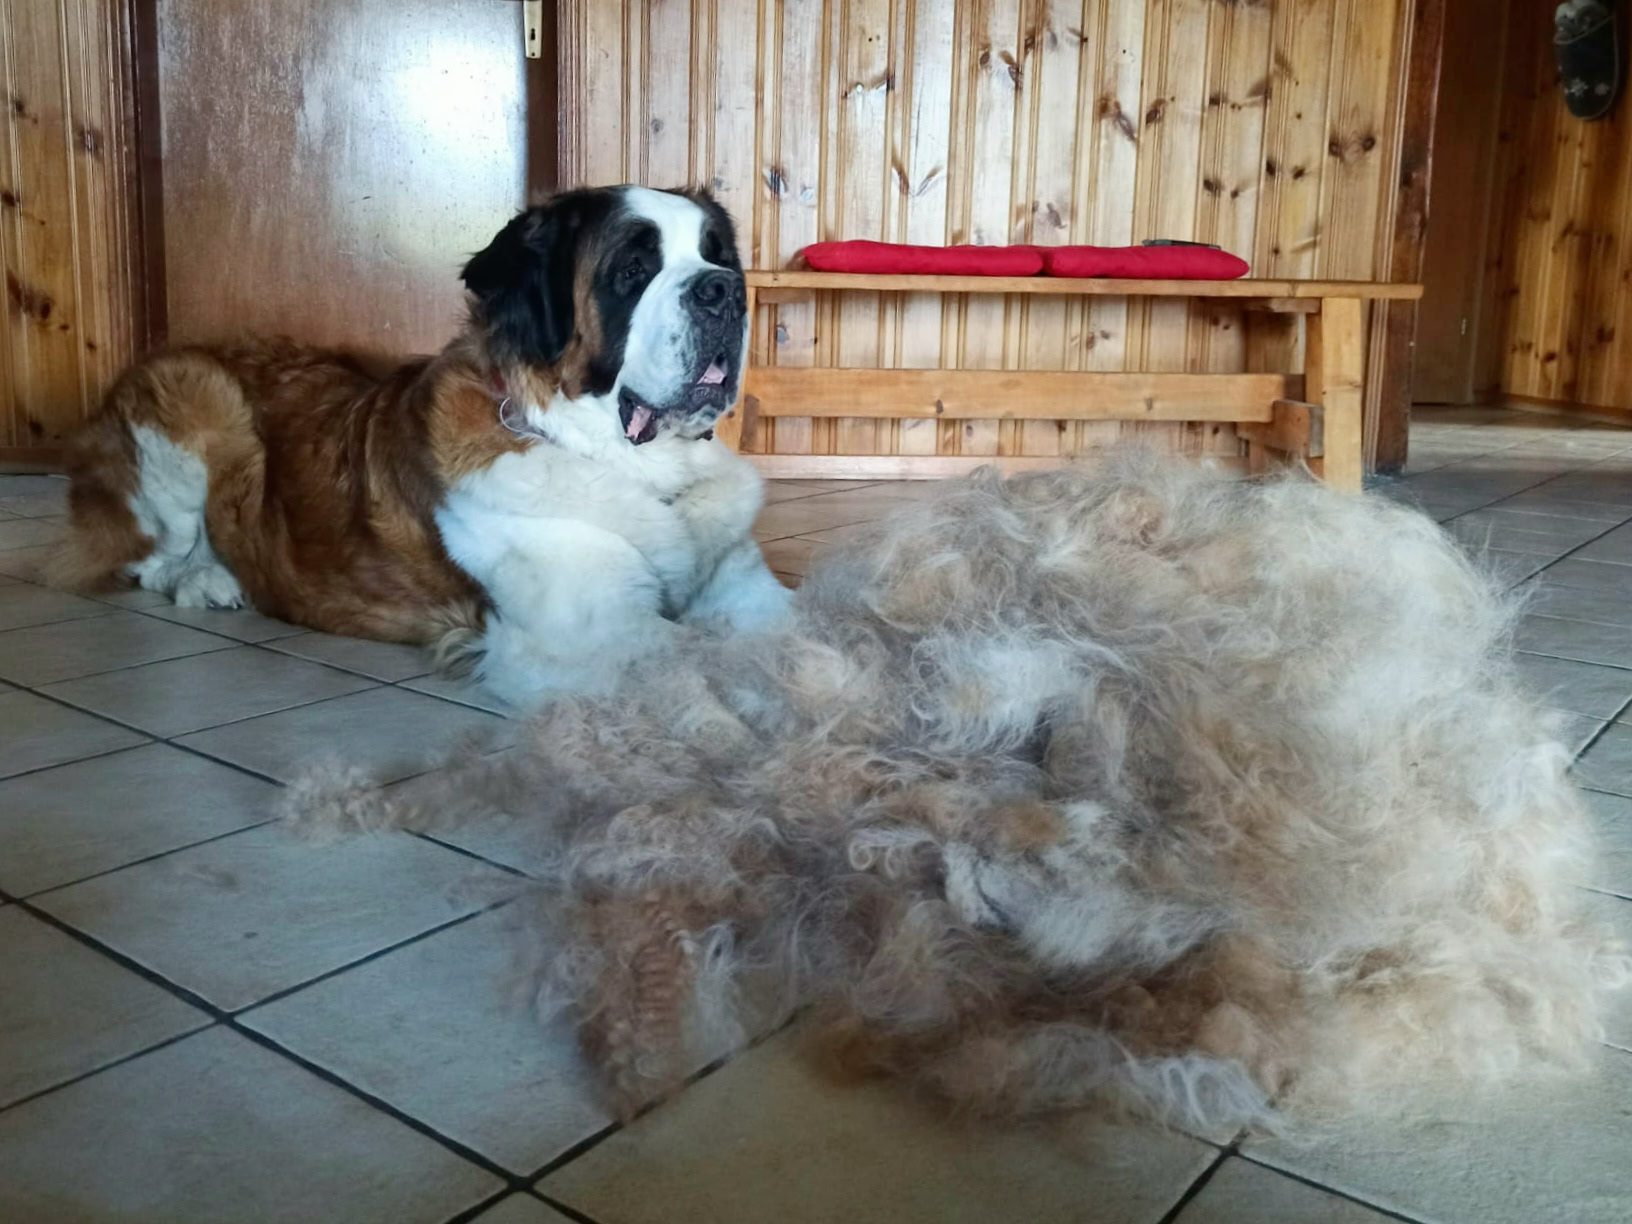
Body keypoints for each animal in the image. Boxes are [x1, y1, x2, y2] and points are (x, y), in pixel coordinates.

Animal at [51, 185, 791, 705]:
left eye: (718, 254)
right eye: (633, 269)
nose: (725, 291)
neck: (636, 467)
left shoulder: (746, 590)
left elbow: (791, 627)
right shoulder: (589, 633)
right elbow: (716, 659)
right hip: (199, 393)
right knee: (147, 560)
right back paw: (208, 579)